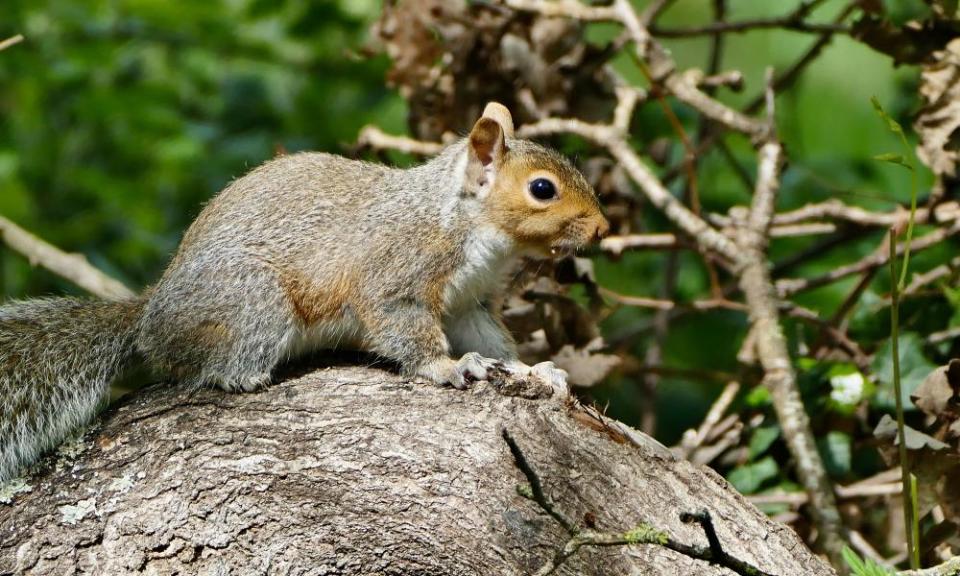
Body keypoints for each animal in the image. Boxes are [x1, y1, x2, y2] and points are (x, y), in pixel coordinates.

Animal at [0, 102, 612, 482]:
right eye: (542, 189)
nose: (602, 229)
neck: (466, 222)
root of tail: (152, 311)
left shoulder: (467, 303)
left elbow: (491, 340)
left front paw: (535, 370)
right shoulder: (396, 272)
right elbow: (401, 326)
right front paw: (447, 368)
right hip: (254, 303)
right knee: (200, 363)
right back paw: (245, 377)